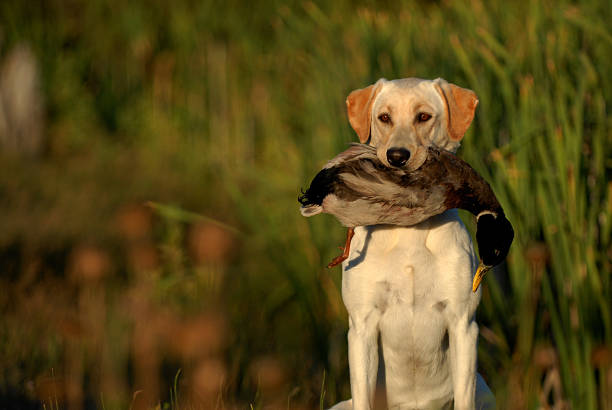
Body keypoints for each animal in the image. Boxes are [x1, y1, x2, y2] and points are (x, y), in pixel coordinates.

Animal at [330, 78, 492, 408]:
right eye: (384, 117)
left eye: (423, 117)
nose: (397, 156)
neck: (409, 230)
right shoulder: (362, 326)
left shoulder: (463, 324)